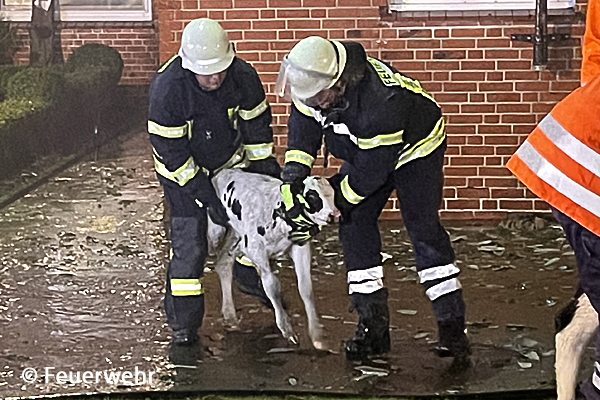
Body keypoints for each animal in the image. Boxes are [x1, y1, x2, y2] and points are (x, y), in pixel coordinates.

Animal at [206, 169, 338, 350]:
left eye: (332, 193)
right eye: (312, 196)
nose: (334, 214)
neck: (279, 211)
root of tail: (223, 172)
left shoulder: (301, 247)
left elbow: (306, 288)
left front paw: (317, 336)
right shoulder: (255, 250)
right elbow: (272, 286)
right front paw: (287, 329)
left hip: (234, 237)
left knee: (223, 263)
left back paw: (230, 315)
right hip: (214, 233)